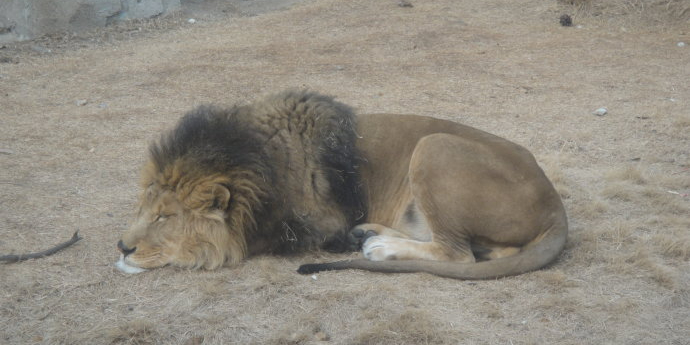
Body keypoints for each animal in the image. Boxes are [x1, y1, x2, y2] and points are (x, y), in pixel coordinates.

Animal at [115, 89, 568, 280]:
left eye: (165, 217)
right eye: (142, 210)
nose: (122, 247)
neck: (259, 162)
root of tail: (555, 206)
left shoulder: (313, 225)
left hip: (434, 146)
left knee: (460, 253)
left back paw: (381, 247)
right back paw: (369, 233)